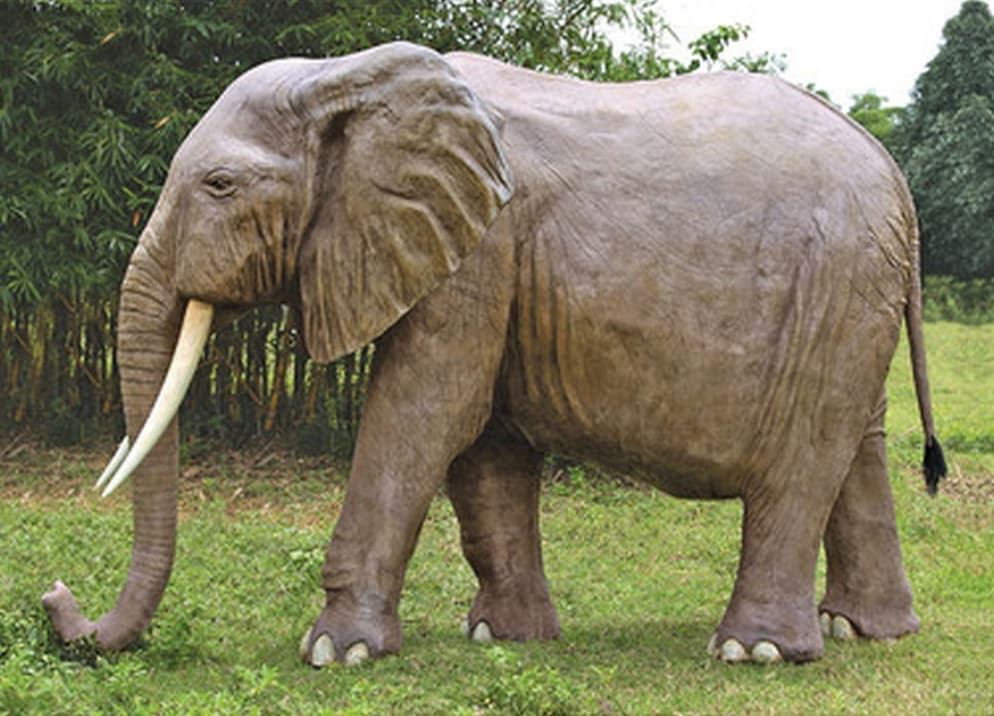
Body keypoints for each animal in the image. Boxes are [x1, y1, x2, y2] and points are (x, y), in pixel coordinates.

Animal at [42, 42, 946, 666]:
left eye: (220, 187)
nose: (56, 598)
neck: (347, 81)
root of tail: (894, 171)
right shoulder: (492, 262)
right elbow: (482, 442)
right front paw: (504, 640)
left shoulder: (481, 251)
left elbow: (428, 410)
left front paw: (335, 653)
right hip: (852, 293)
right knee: (858, 445)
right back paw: (871, 632)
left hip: (835, 282)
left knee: (805, 455)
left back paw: (753, 652)